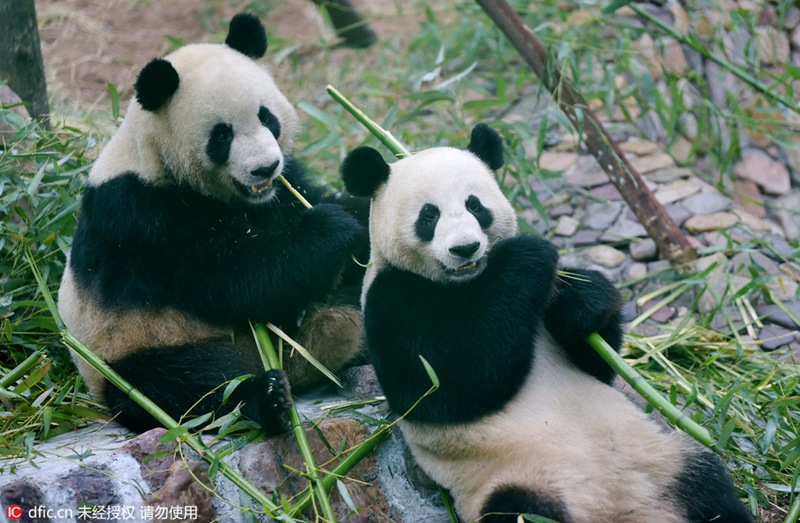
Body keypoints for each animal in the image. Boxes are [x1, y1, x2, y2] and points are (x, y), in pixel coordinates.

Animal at [57, 14, 368, 436]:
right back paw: (267, 398)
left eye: (266, 116)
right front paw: (332, 227)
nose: (265, 168)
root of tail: (299, 359)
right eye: (222, 135)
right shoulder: (143, 215)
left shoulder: (283, 187)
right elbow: (238, 279)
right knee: (186, 387)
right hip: (128, 350)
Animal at [340, 124, 752, 523]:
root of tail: (620, 510)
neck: (469, 283)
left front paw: (585, 298)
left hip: (665, 460)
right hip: (523, 479)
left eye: (475, 205)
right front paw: (525, 257)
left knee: (711, 490)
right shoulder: (391, 298)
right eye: (429, 216)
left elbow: (595, 359)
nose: (465, 248)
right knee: (520, 511)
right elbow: (445, 386)